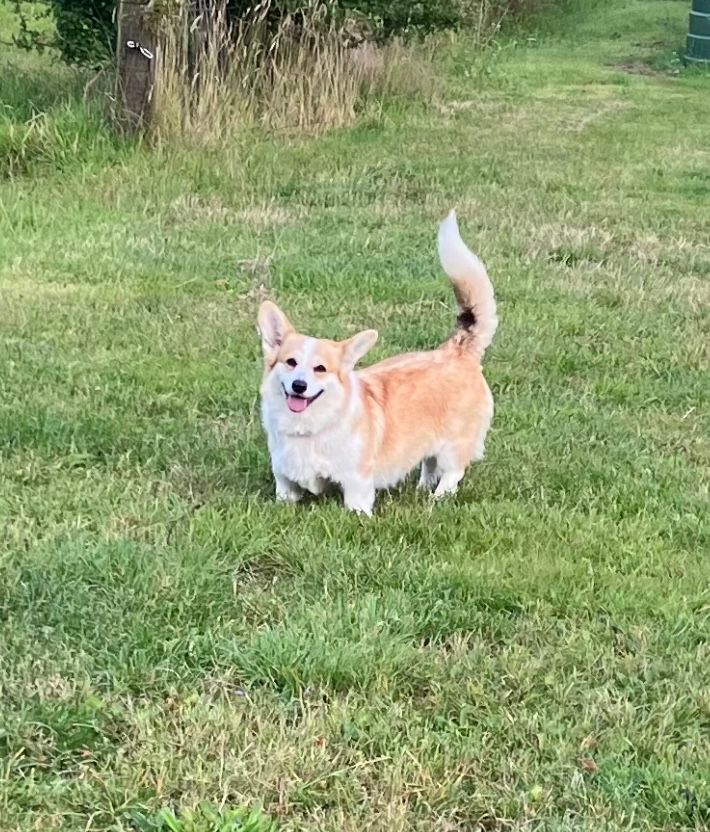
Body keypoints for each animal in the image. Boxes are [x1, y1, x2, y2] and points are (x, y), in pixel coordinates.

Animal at [258, 210, 498, 512]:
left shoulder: (356, 484)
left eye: (320, 368)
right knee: (429, 464)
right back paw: (422, 488)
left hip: (454, 445)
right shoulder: (284, 480)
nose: (299, 386)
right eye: (290, 362)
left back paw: (437, 498)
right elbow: (285, 496)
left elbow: (355, 507)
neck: (309, 427)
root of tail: (458, 349)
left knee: (452, 471)